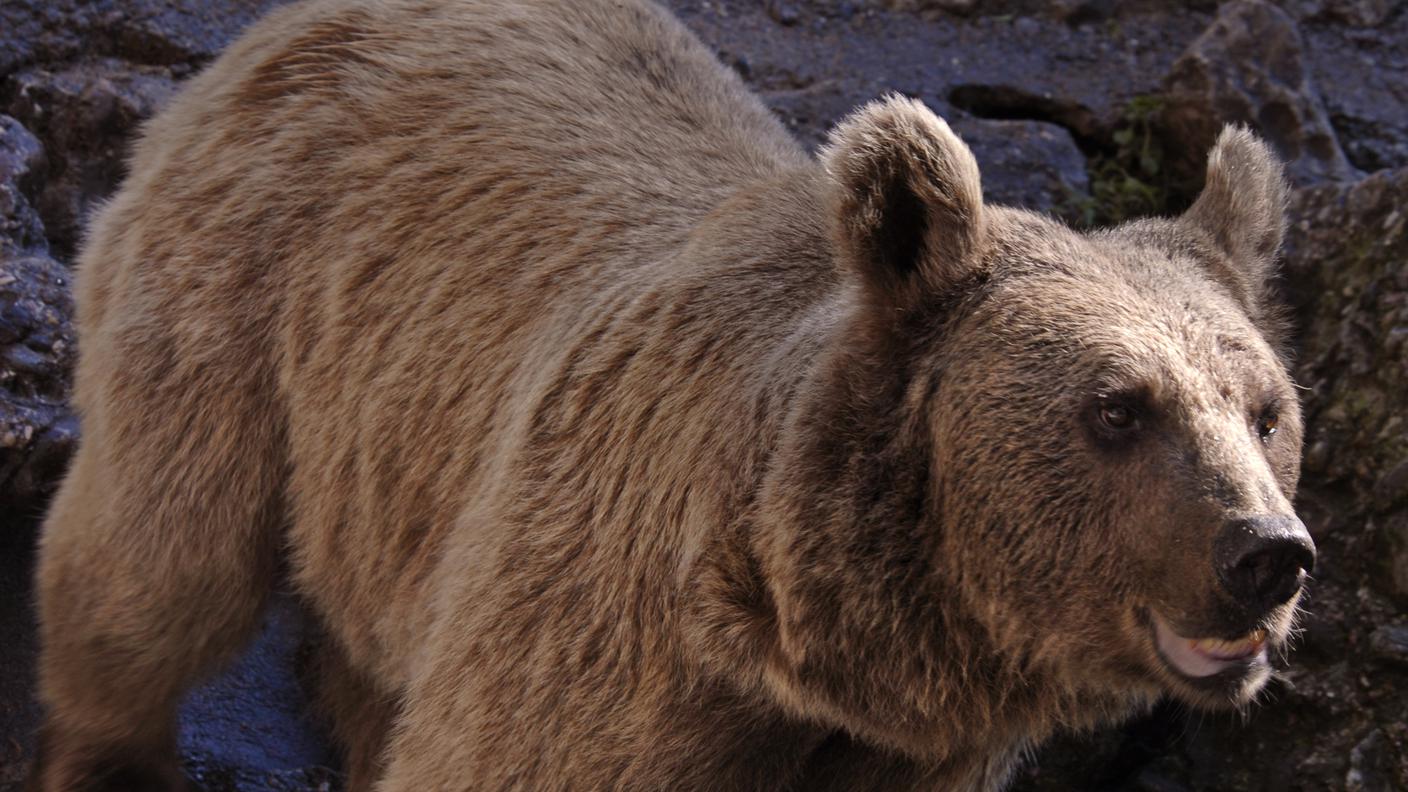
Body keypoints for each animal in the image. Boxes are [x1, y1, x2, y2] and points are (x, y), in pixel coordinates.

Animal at [27, 0, 1312, 783]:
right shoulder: (601, 650)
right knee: (158, 561)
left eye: (1264, 412)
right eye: (1117, 408)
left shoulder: (897, 760)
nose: (1265, 553)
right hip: (242, 285)